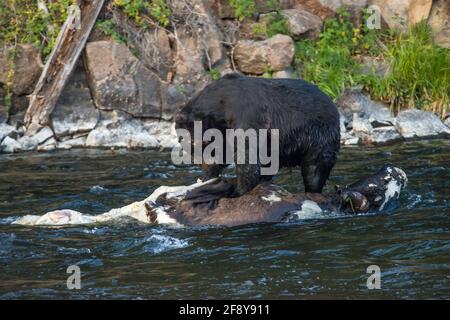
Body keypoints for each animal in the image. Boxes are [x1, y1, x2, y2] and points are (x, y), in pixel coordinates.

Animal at [174, 74, 340, 195]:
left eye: (194, 145)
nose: (199, 164)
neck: (221, 107)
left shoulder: (247, 117)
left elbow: (247, 156)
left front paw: (239, 189)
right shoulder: (224, 131)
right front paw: (207, 177)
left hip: (318, 136)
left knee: (315, 167)